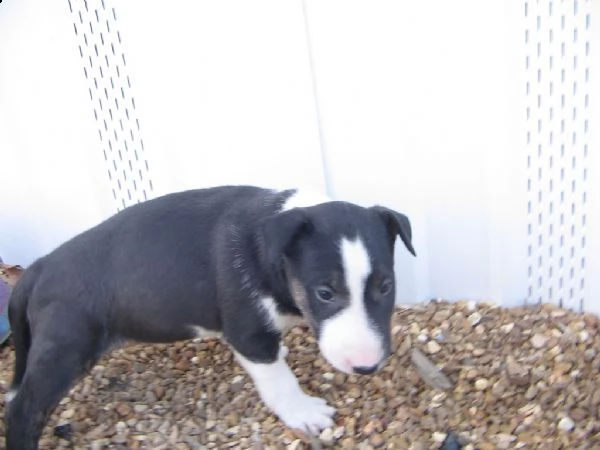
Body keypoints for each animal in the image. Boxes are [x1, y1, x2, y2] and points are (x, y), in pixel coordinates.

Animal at [3, 185, 418, 448]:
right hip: (67, 347)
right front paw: (303, 413)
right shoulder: (248, 334)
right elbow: (278, 380)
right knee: (22, 410)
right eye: (325, 293)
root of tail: (39, 267)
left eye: (386, 286)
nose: (366, 367)